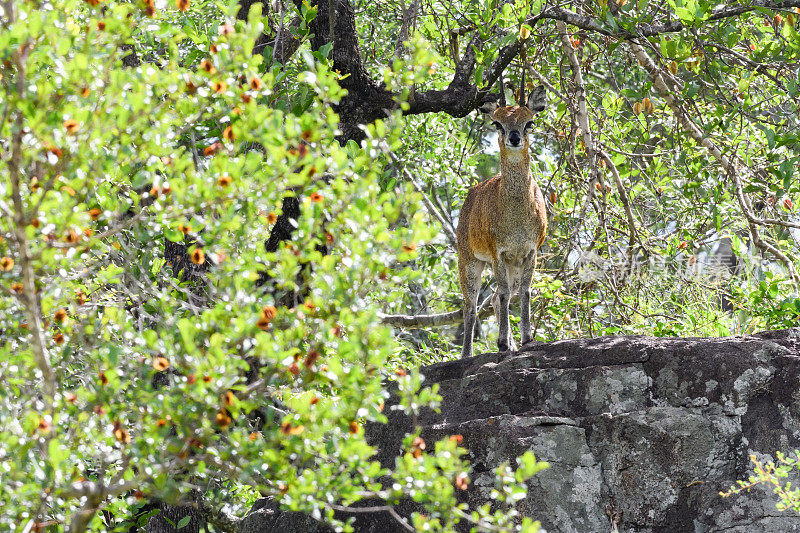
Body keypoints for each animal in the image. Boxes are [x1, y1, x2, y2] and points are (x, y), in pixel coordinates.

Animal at [460, 80, 548, 358]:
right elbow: (506, 294)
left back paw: (510, 342)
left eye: (529, 121)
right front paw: (501, 342)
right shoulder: (497, 251)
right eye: (497, 123)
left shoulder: (530, 251)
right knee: (471, 306)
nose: (514, 137)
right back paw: (467, 354)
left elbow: (524, 292)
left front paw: (527, 339)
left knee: (495, 298)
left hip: (510, 265)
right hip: (469, 260)